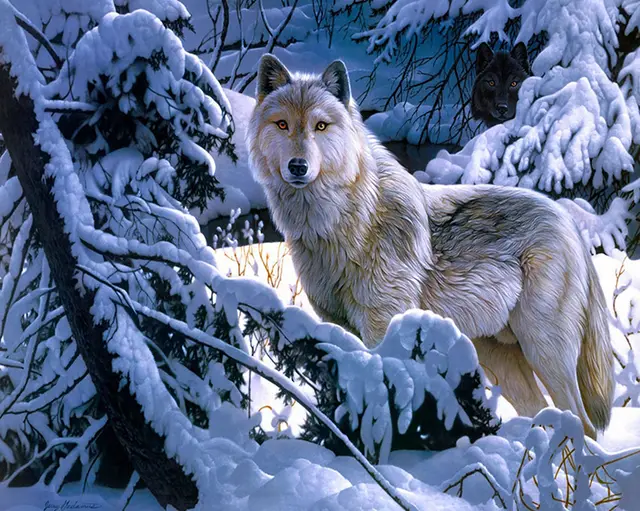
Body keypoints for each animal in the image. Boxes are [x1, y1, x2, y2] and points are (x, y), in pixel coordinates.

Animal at [247, 55, 615, 438]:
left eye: (320, 126)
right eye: (283, 124)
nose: (298, 166)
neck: (343, 224)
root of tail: (568, 220)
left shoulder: (382, 327)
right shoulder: (341, 328)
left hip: (544, 351)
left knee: (583, 425)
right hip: (499, 359)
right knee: (544, 413)